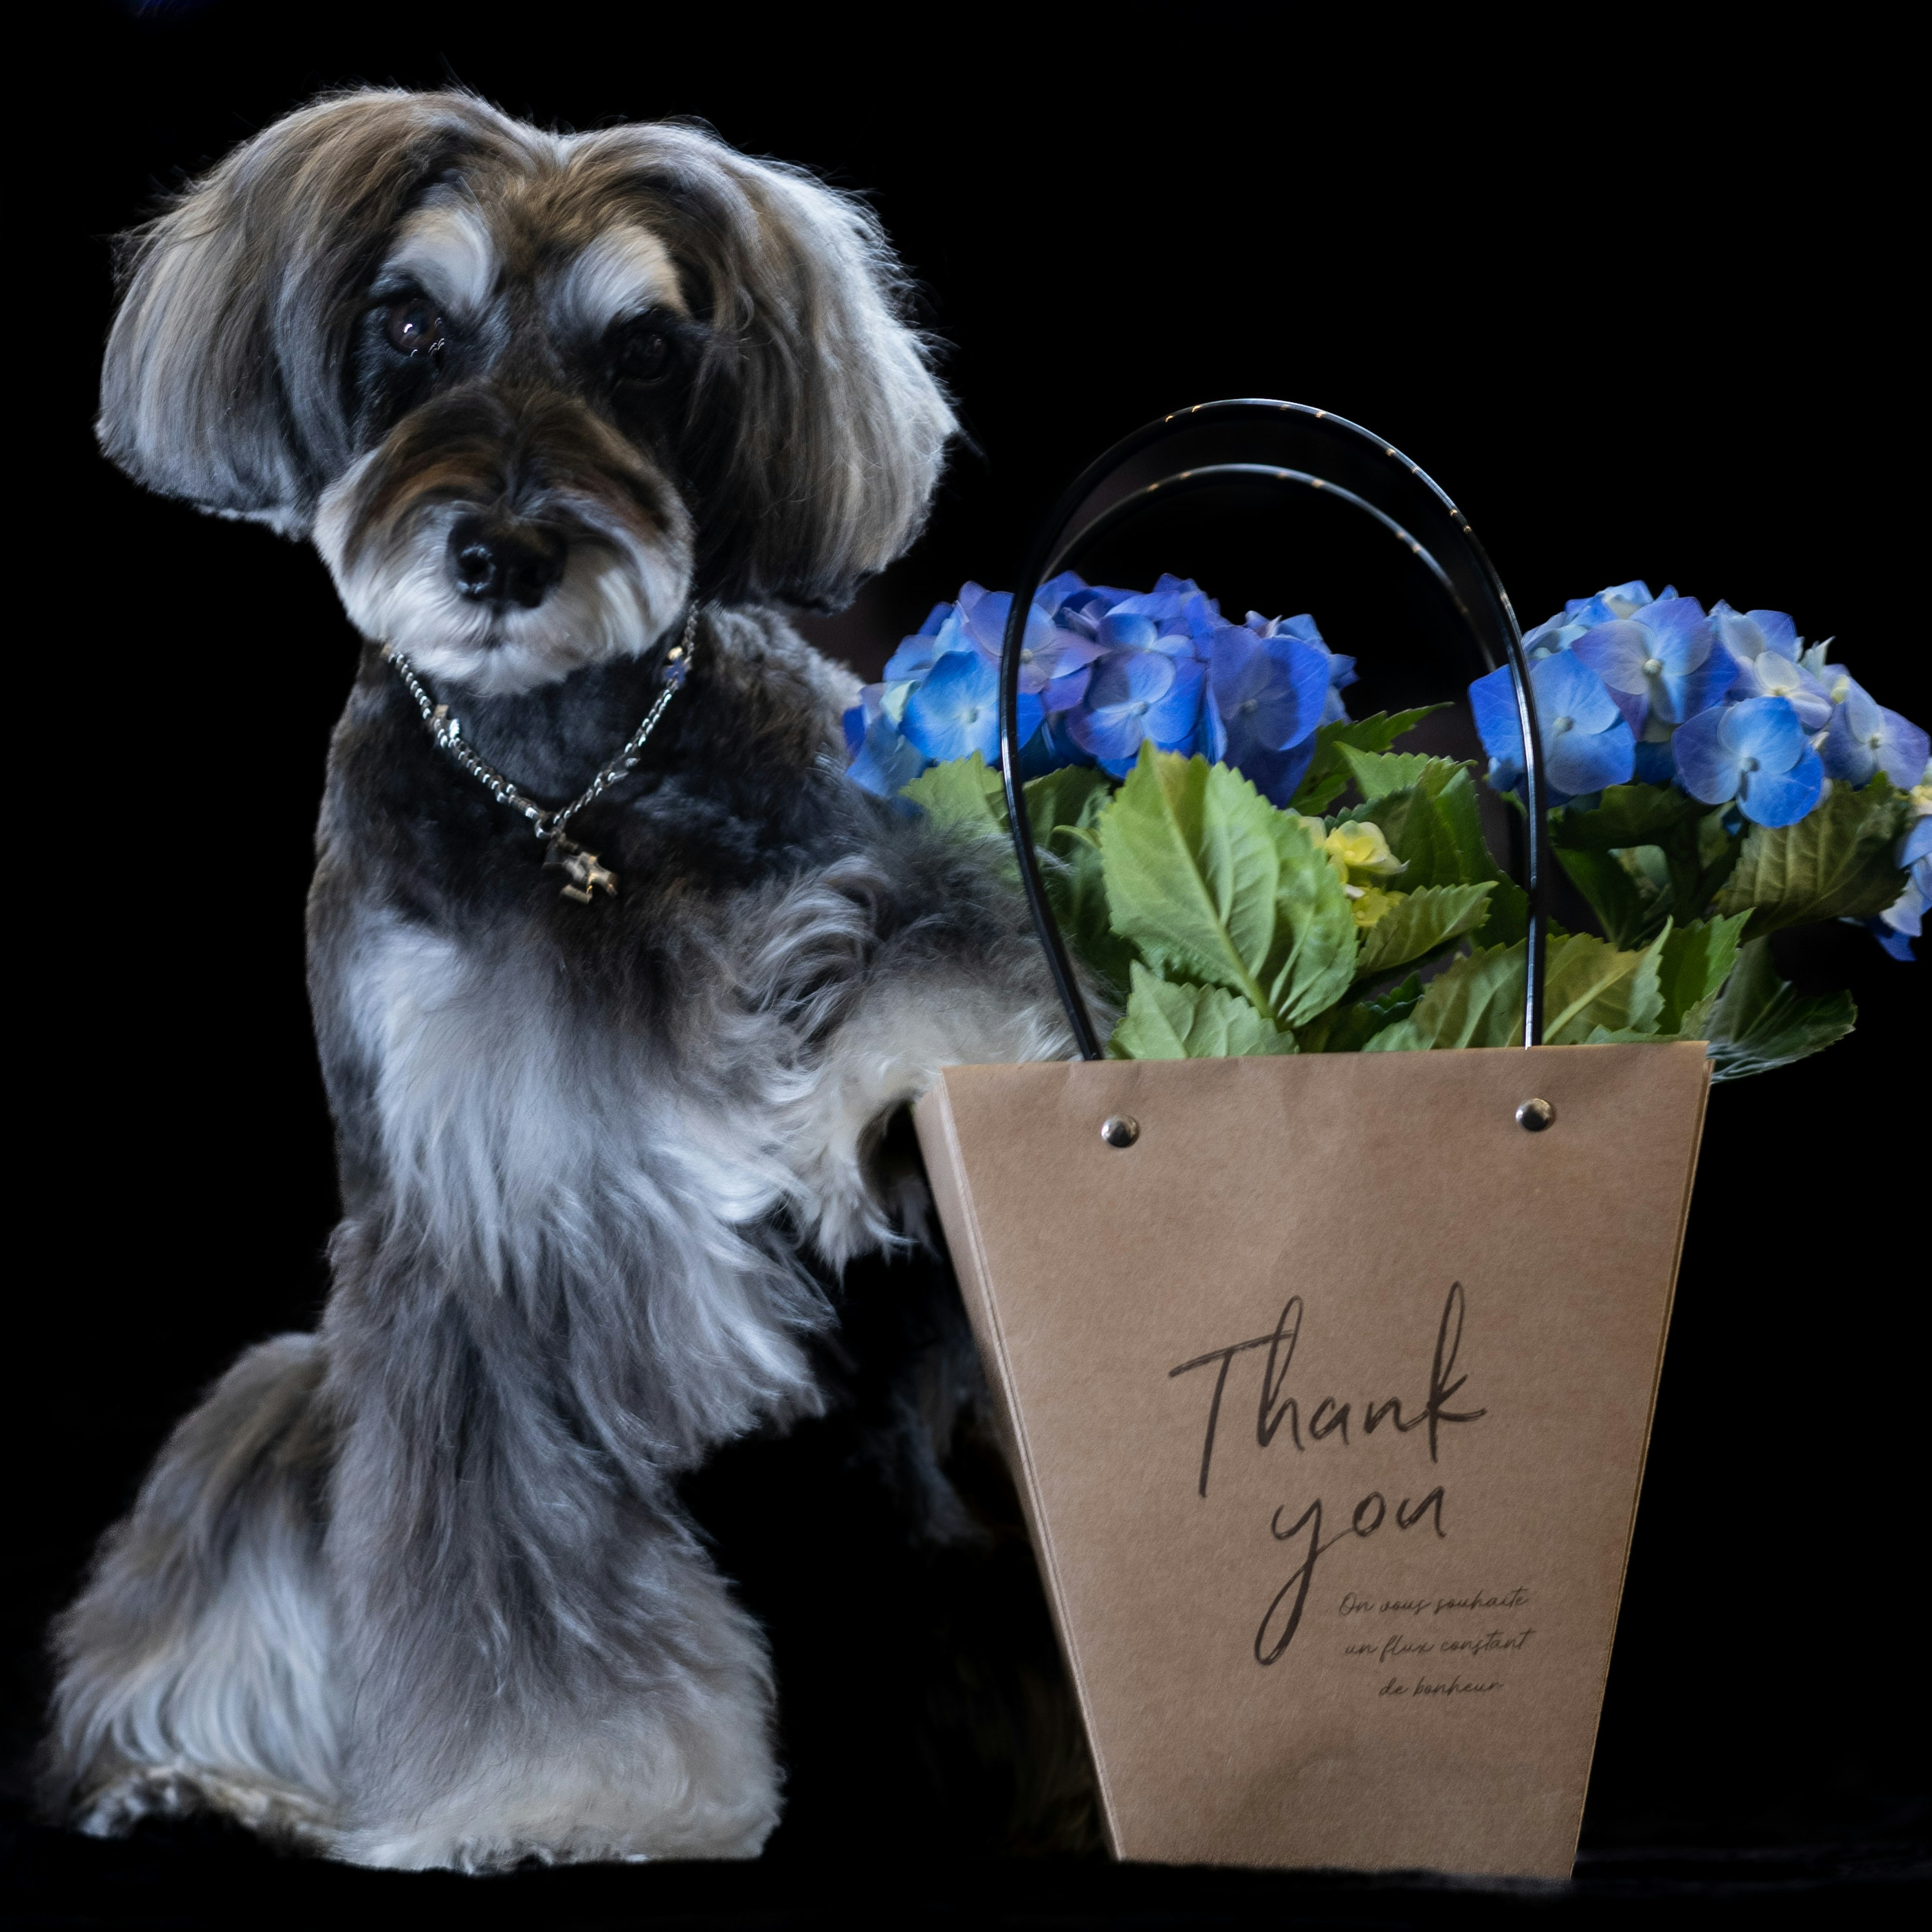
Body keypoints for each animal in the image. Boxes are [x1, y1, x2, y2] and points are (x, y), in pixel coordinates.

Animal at [49, 87, 1105, 1870]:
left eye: (645, 352)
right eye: (411, 322)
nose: (504, 550)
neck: (564, 785)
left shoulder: (883, 854)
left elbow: (929, 953)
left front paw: (869, 1093)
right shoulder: (469, 1236)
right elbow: (509, 1588)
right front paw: (557, 1796)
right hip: (285, 1391)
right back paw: (204, 1777)